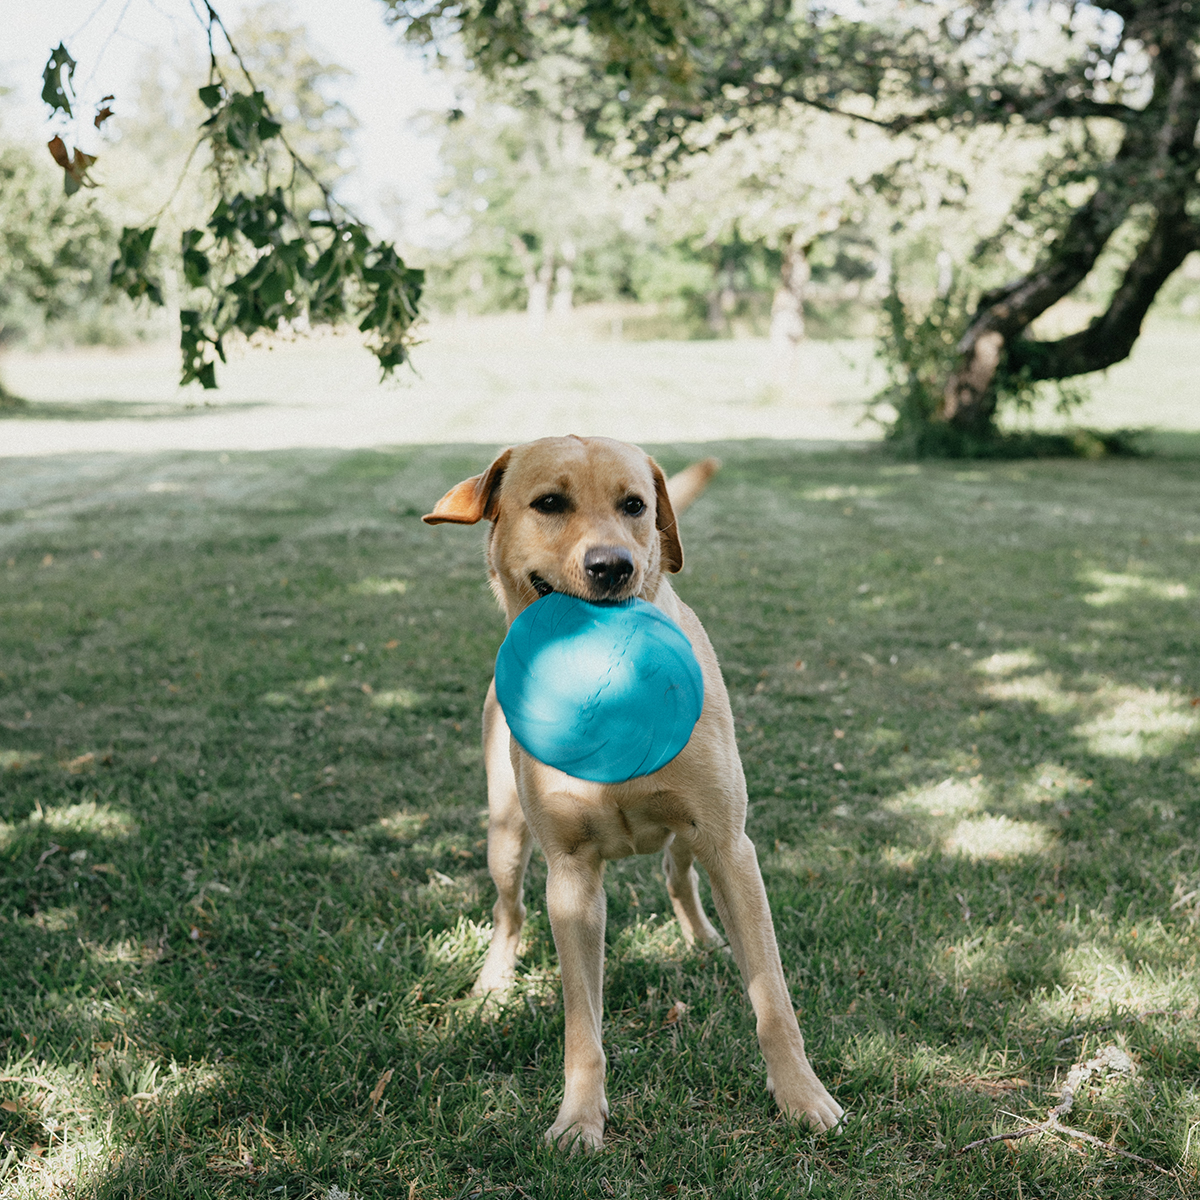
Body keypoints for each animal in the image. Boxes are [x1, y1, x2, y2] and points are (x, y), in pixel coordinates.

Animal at [422, 436, 844, 1147]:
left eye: (635, 506)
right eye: (550, 503)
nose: (612, 567)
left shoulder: (731, 845)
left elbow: (772, 999)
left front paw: (801, 1096)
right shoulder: (570, 875)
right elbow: (581, 1027)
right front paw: (578, 1117)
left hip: (696, 835)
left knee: (679, 876)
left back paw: (708, 941)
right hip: (506, 834)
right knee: (509, 911)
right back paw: (492, 984)